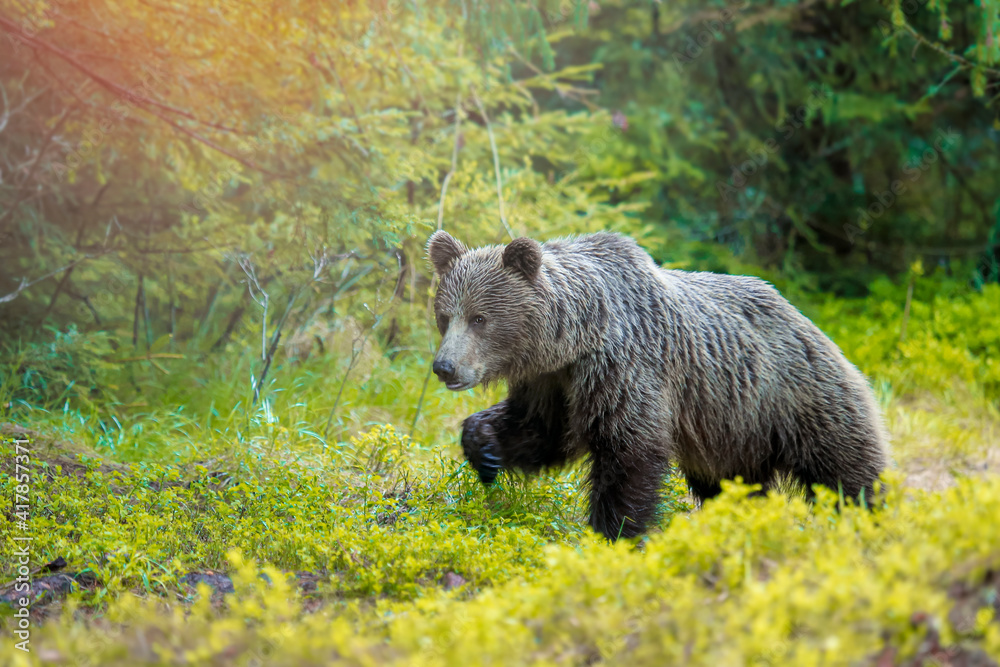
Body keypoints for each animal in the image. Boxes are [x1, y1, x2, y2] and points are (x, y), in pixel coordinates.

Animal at [426, 230, 890, 540]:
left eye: (480, 318)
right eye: (446, 315)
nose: (444, 367)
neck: (575, 339)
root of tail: (808, 321)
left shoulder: (626, 367)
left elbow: (630, 451)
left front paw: (612, 534)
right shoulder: (551, 382)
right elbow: (538, 430)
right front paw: (484, 447)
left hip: (798, 399)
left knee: (847, 472)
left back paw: (872, 521)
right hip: (734, 430)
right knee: (733, 484)